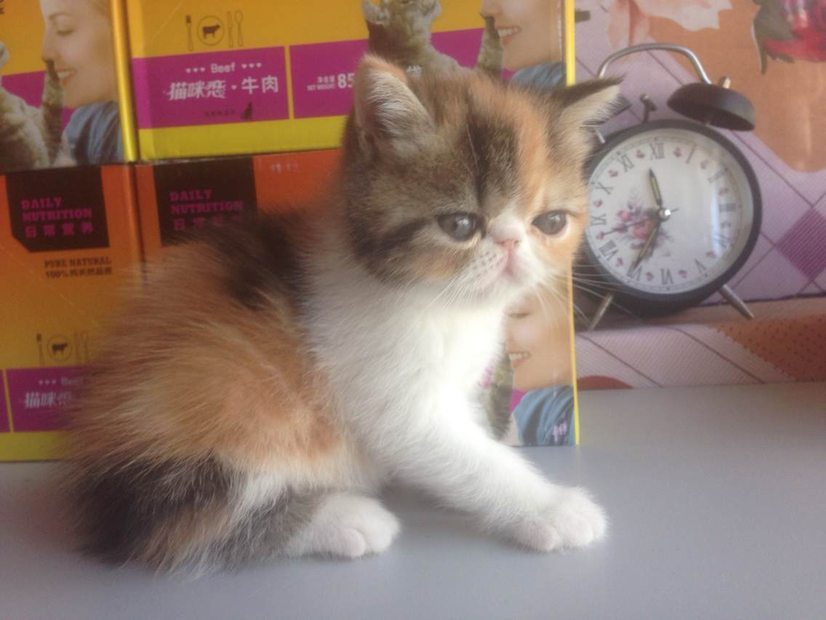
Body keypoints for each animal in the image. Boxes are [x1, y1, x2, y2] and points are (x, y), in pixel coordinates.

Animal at [67, 54, 619, 574]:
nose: (511, 244)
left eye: (550, 222)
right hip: (217, 404)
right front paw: (552, 508)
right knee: (186, 526)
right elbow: (470, 457)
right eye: (460, 224)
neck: (439, 301)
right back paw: (347, 518)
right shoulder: (393, 401)